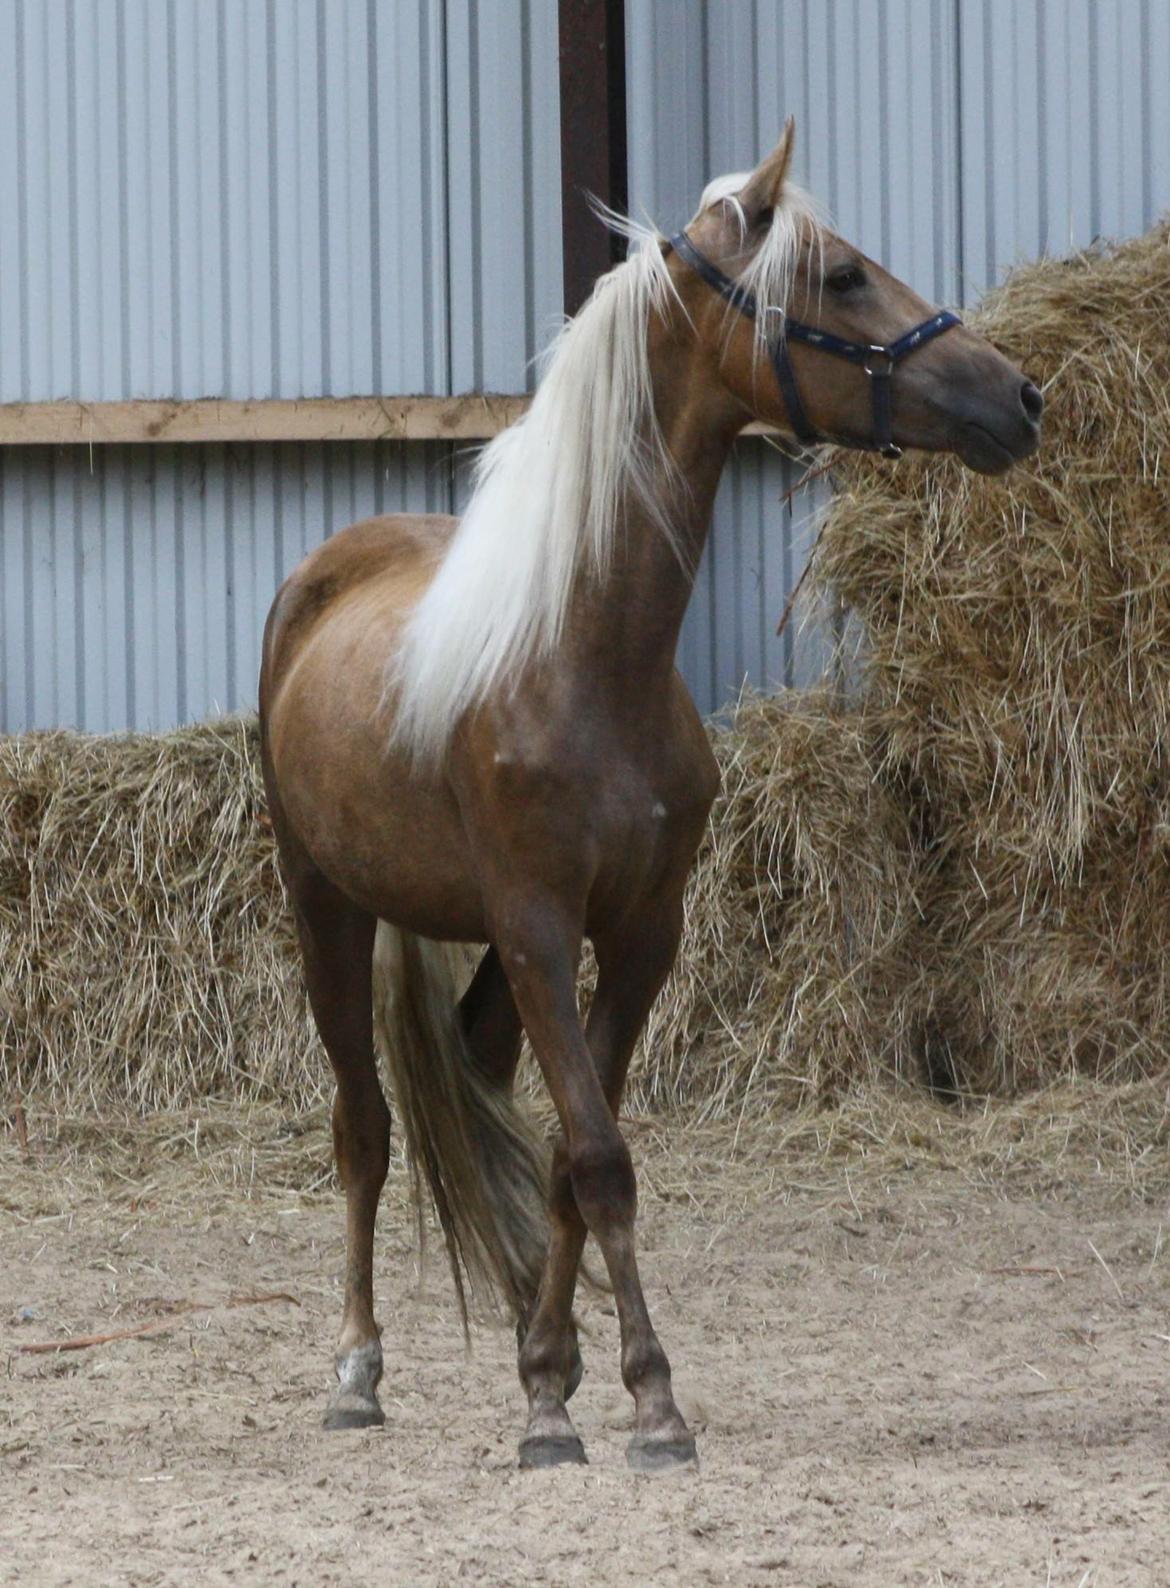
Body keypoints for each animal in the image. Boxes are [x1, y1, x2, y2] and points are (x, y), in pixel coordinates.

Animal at [257, 123, 1041, 1473]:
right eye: (840, 275)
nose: (1017, 395)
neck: (582, 653)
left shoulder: (638, 935)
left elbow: (576, 1158)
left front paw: (562, 1376)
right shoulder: (535, 925)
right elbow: (599, 1154)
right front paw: (635, 1406)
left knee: (475, 1087)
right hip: (329, 909)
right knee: (363, 1126)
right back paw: (356, 1372)